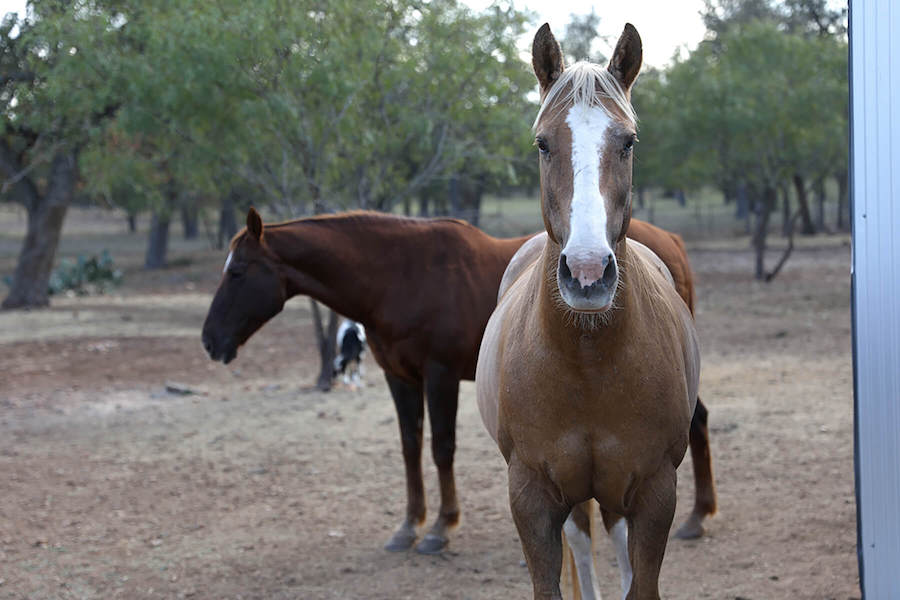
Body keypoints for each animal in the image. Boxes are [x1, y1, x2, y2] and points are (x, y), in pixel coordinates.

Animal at [200, 207, 714, 556]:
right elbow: (411, 446)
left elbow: (441, 447)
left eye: (238, 271)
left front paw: (441, 529)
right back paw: (697, 516)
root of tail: (668, 242)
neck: (400, 275)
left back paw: (696, 516)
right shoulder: (400, 377)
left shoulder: (440, 375)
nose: (210, 340)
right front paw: (409, 526)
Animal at [475, 23, 700, 600]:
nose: (587, 271)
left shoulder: (654, 493)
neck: (588, 360)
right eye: (542, 142)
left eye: (628, 141)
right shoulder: (531, 497)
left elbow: (641, 583)